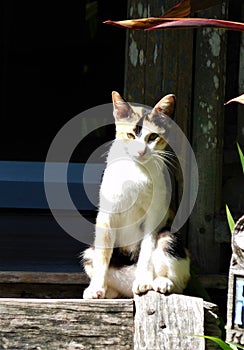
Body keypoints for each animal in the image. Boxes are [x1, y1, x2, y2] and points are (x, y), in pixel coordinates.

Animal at [82, 91, 191, 298]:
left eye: (153, 136)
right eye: (130, 135)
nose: (141, 151)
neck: (136, 171)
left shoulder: (155, 215)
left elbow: (146, 249)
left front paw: (143, 281)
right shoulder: (106, 215)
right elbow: (102, 255)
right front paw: (95, 288)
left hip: (169, 238)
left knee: (178, 279)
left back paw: (159, 282)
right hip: (89, 252)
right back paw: (107, 292)